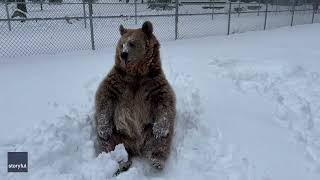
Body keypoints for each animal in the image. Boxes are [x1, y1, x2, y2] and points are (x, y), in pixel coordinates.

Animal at [94, 21, 176, 172]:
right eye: (122, 44)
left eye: (132, 43)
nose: (123, 54)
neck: (136, 73)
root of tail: (136, 146)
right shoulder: (117, 81)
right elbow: (104, 97)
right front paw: (104, 129)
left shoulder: (153, 82)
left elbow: (165, 101)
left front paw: (159, 129)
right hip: (117, 132)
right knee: (108, 143)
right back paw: (121, 162)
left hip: (149, 128)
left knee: (161, 141)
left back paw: (157, 160)